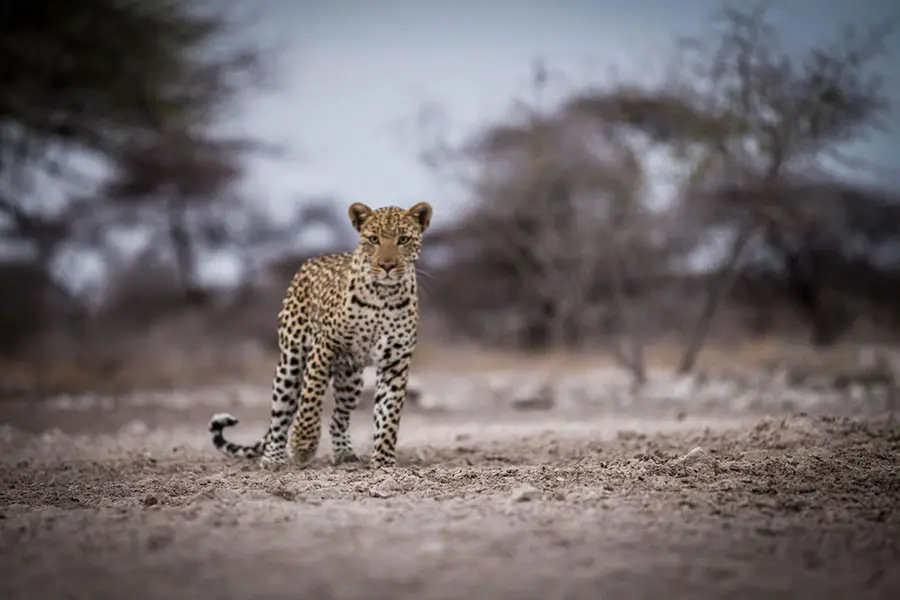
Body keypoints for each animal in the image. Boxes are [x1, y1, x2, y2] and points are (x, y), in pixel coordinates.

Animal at [208, 201, 433, 471]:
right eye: (374, 239)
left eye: (403, 239)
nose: (387, 266)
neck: (383, 296)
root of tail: (312, 260)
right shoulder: (323, 348)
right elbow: (311, 397)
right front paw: (302, 445)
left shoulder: (395, 362)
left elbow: (388, 413)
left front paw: (384, 461)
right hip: (290, 363)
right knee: (279, 416)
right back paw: (273, 458)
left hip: (351, 378)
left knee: (338, 417)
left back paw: (344, 453)